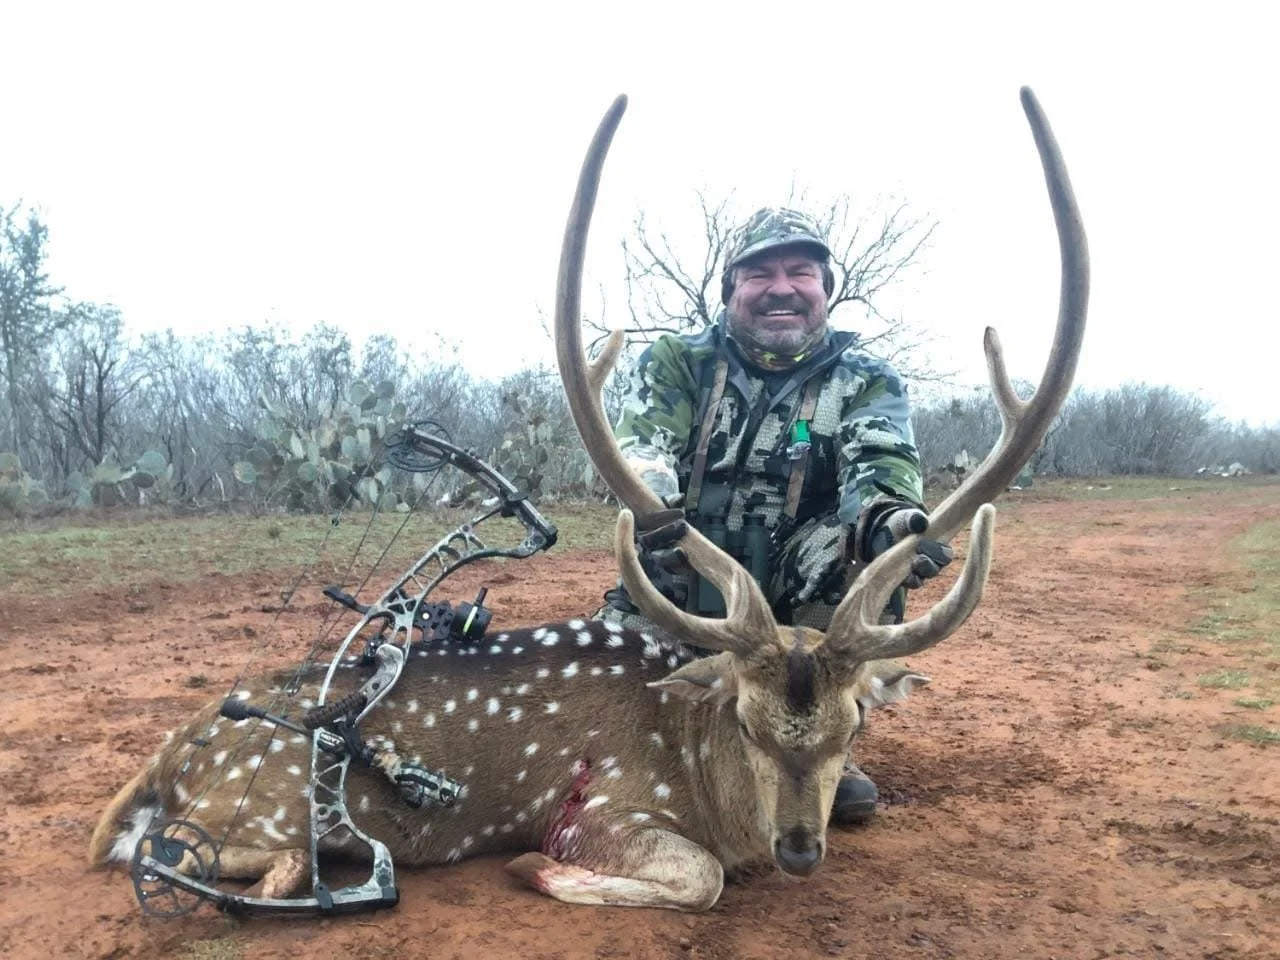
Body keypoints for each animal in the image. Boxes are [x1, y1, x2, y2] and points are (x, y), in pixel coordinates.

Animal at [89, 87, 1088, 912]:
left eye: (854, 723)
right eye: (749, 721)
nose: (801, 849)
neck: (700, 768)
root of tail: (169, 756)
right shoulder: (609, 801)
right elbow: (699, 877)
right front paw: (539, 867)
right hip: (257, 809)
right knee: (204, 857)